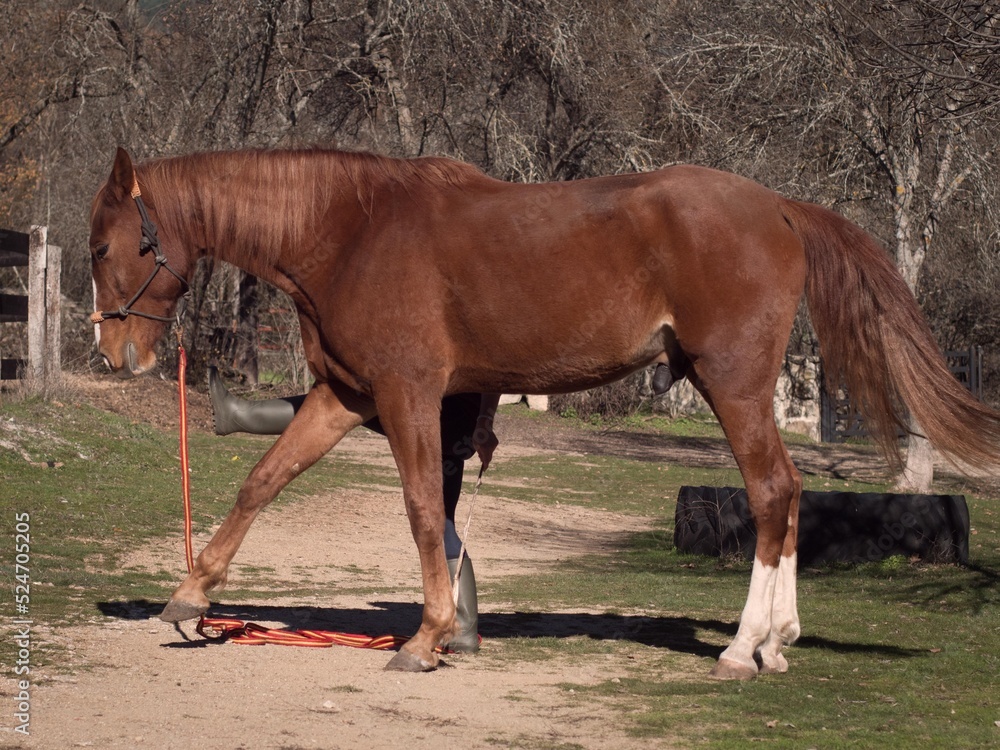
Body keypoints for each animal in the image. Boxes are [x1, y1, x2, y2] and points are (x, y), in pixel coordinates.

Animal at [89, 146, 1000, 679]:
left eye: (104, 246)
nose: (115, 353)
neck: (351, 229)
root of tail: (778, 207)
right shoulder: (347, 396)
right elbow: (264, 479)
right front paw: (190, 595)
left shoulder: (408, 394)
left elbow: (421, 508)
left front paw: (427, 638)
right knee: (793, 495)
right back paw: (777, 642)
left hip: (733, 382)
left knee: (772, 492)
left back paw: (745, 647)